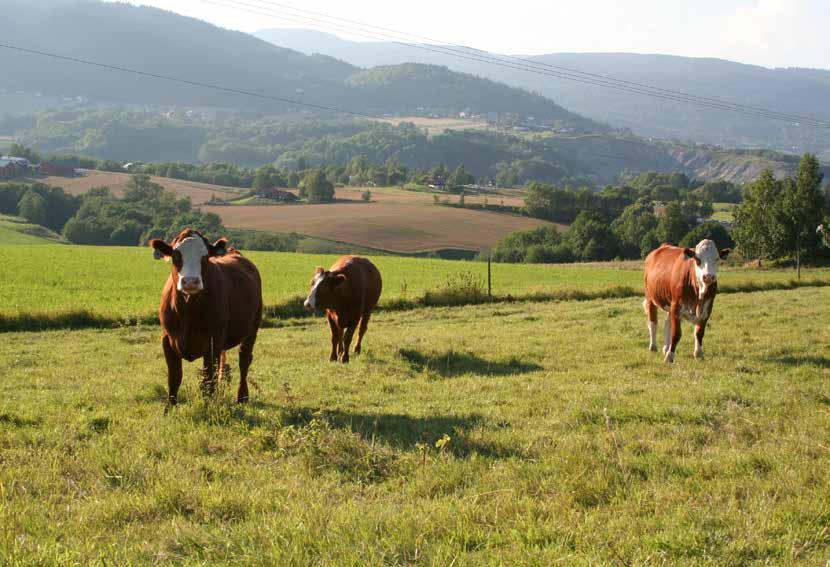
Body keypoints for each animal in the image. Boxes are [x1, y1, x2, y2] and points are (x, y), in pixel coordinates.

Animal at [150, 229, 264, 406]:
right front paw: (169, 409)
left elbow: (207, 382)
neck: (188, 310)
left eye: (204, 258)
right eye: (176, 256)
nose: (190, 281)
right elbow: (174, 379)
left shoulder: (212, 342)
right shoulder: (167, 340)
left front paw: (208, 408)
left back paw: (242, 397)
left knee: (244, 360)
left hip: (252, 328)